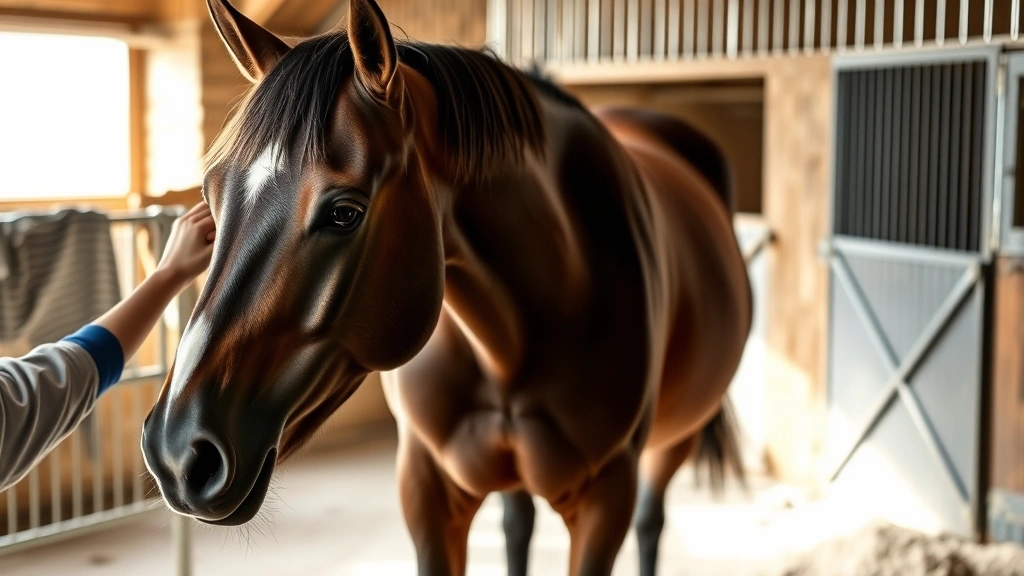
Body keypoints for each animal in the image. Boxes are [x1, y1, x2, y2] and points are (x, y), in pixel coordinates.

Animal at [141, 0, 752, 574]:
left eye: (344, 212)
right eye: (212, 195)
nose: (178, 453)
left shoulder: (605, 500)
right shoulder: (427, 489)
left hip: (673, 442)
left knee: (651, 523)